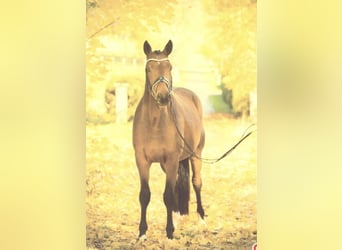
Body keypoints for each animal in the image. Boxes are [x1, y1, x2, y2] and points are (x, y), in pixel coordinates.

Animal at [132, 40, 204, 239]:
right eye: (148, 68)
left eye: (169, 67)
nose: (164, 97)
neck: (154, 122)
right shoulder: (142, 160)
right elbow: (145, 195)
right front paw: (142, 233)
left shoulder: (171, 159)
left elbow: (168, 196)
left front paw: (170, 233)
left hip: (196, 155)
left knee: (196, 183)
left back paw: (201, 219)